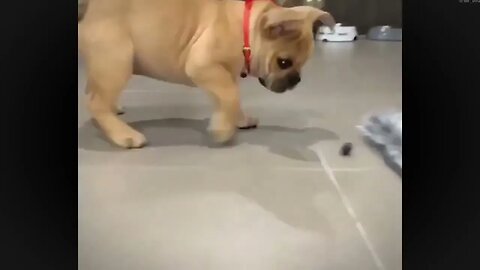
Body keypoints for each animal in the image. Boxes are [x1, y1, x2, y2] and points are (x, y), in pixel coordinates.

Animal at [78, 0, 334, 148]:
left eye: (303, 64)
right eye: (284, 62)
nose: (296, 80)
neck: (246, 26)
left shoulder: (222, 74)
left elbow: (230, 99)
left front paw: (238, 120)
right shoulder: (203, 66)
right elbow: (230, 96)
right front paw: (223, 130)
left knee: (93, 91)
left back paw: (113, 112)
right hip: (117, 60)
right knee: (95, 101)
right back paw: (123, 135)